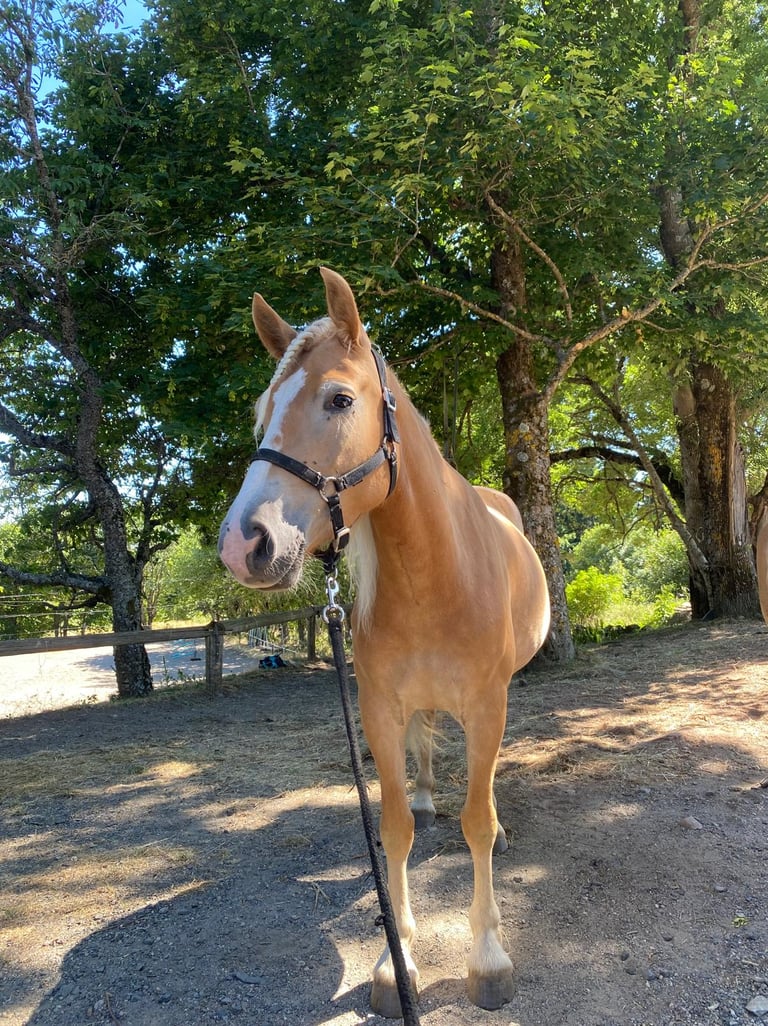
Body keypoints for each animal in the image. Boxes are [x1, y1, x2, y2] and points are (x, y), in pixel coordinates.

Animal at [218, 267, 551, 1017]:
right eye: (263, 411)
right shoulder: (377, 711)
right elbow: (393, 828)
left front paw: (488, 957)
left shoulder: (487, 704)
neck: (436, 572)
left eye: (339, 399)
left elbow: (477, 819)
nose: (243, 546)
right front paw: (393, 962)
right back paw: (429, 795)